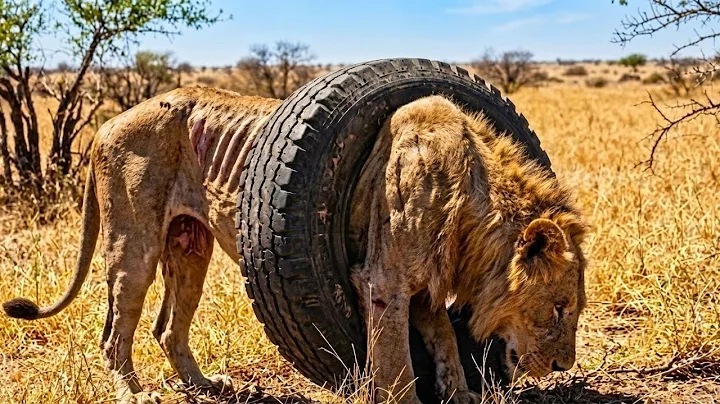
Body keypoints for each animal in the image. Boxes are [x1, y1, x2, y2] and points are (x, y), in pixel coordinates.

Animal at [348, 96, 588, 403]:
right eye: (558, 308)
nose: (563, 366)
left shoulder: (429, 283)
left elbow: (445, 332)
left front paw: (458, 391)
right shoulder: (386, 282)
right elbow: (394, 357)